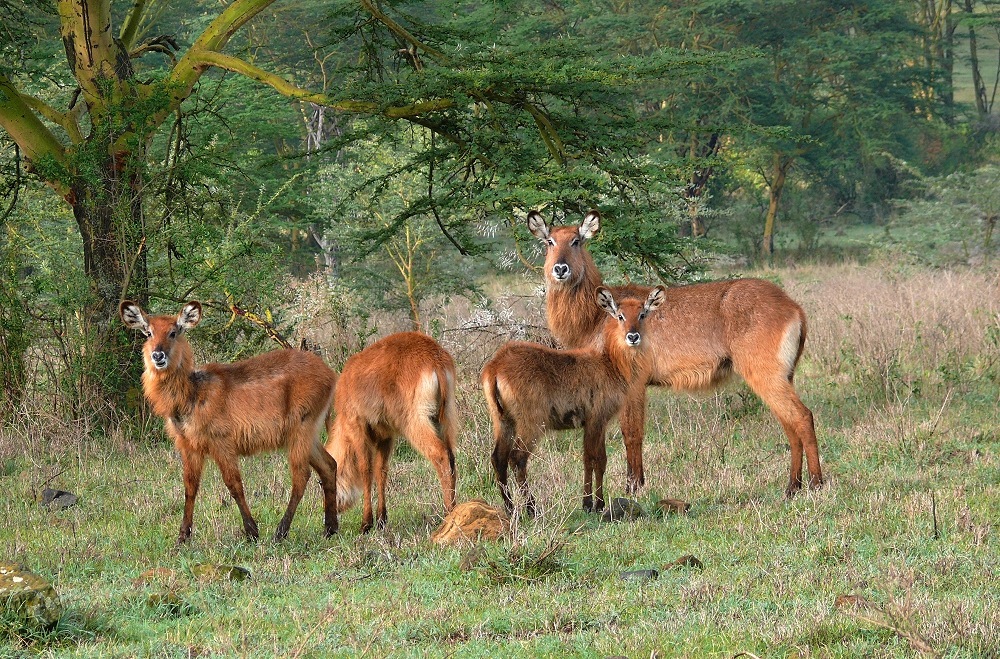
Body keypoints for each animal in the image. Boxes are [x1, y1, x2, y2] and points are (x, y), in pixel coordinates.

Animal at [117, 302, 340, 544]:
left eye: (173, 332)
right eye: (148, 333)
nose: (158, 355)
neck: (192, 395)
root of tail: (330, 374)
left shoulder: (221, 442)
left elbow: (234, 484)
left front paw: (251, 531)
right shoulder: (188, 445)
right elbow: (190, 487)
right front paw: (183, 536)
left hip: (300, 429)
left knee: (302, 476)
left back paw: (281, 532)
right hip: (309, 433)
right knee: (329, 465)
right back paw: (330, 529)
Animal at [324, 332, 458, 532]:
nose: (329, 524)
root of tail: (435, 357)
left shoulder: (357, 427)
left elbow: (366, 470)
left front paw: (366, 523)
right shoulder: (386, 436)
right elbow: (381, 471)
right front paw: (381, 520)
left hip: (415, 422)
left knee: (441, 455)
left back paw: (448, 513)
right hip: (443, 420)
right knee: (451, 457)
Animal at [482, 288, 664, 516]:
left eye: (642, 314)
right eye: (620, 316)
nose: (633, 337)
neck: (611, 363)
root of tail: (496, 365)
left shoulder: (594, 423)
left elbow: (591, 459)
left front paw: (590, 503)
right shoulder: (597, 419)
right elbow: (596, 459)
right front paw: (595, 503)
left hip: (503, 421)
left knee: (498, 459)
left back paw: (510, 509)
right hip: (531, 423)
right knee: (517, 458)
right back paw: (532, 509)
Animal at [528, 209, 824, 498]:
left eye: (576, 240)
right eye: (550, 241)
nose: (560, 269)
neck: (595, 316)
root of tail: (793, 307)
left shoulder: (633, 383)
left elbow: (632, 432)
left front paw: (633, 487)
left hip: (765, 374)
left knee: (802, 417)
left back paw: (816, 484)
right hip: (782, 376)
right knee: (790, 423)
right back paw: (792, 487)